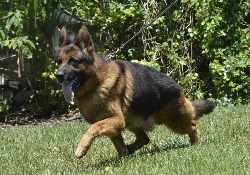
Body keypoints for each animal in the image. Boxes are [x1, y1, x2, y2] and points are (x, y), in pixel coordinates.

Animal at [55, 25, 216, 159]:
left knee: (192, 125)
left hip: (175, 121)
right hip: (132, 121)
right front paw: (123, 159)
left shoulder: (116, 120)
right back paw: (131, 148)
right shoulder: (116, 125)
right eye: (59, 62)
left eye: (73, 61)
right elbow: (119, 145)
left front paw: (81, 149)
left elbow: (92, 128)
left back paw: (195, 145)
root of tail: (177, 87)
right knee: (145, 138)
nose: (58, 75)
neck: (97, 82)